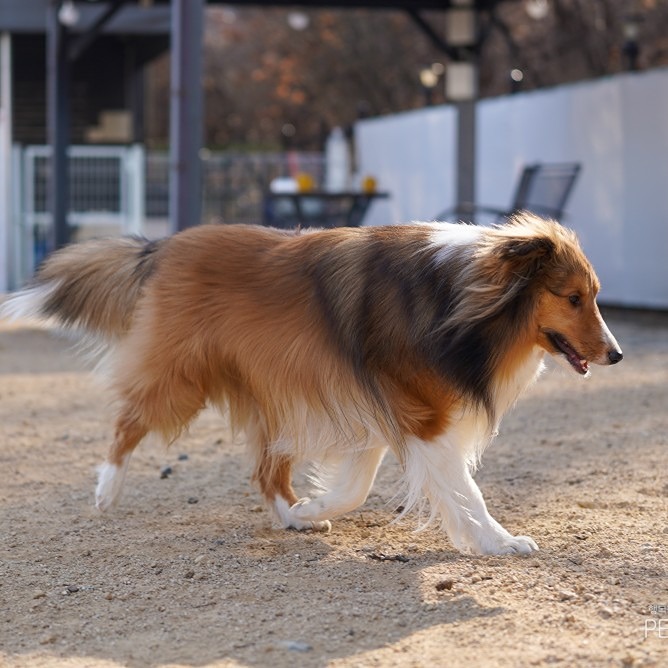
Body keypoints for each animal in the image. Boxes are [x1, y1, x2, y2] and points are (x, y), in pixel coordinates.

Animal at [2, 213, 624, 552]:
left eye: (594, 296)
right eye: (573, 298)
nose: (617, 354)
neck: (459, 293)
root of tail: (165, 245)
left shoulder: (385, 407)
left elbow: (358, 485)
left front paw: (313, 507)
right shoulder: (422, 416)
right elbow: (465, 492)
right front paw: (500, 542)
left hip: (266, 393)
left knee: (264, 470)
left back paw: (291, 517)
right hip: (180, 379)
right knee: (127, 422)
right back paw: (107, 491)